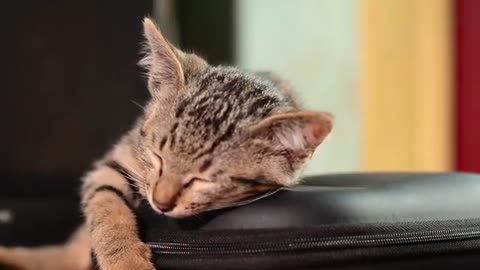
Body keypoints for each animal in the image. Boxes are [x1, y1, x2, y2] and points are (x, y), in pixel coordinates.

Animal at [0, 17, 332, 270]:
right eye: (157, 156)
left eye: (204, 179)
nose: (160, 203)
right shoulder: (119, 159)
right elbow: (106, 204)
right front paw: (125, 260)